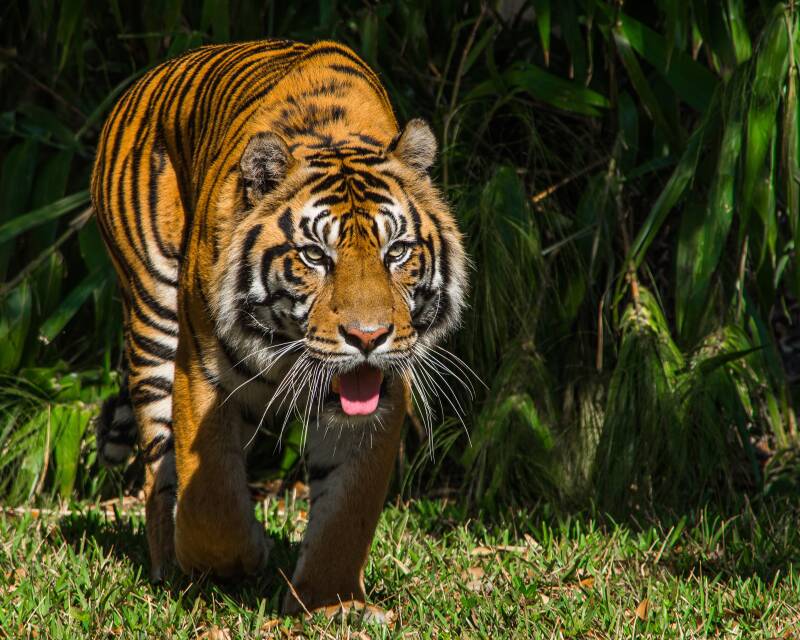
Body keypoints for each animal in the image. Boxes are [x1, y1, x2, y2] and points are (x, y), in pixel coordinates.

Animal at [90, 39, 468, 614]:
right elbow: (211, 499)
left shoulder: (378, 400)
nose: (368, 337)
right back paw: (166, 567)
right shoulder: (202, 374)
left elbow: (347, 511)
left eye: (396, 252)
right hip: (153, 319)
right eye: (314, 256)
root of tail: (145, 80)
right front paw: (237, 560)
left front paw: (329, 602)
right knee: (158, 471)